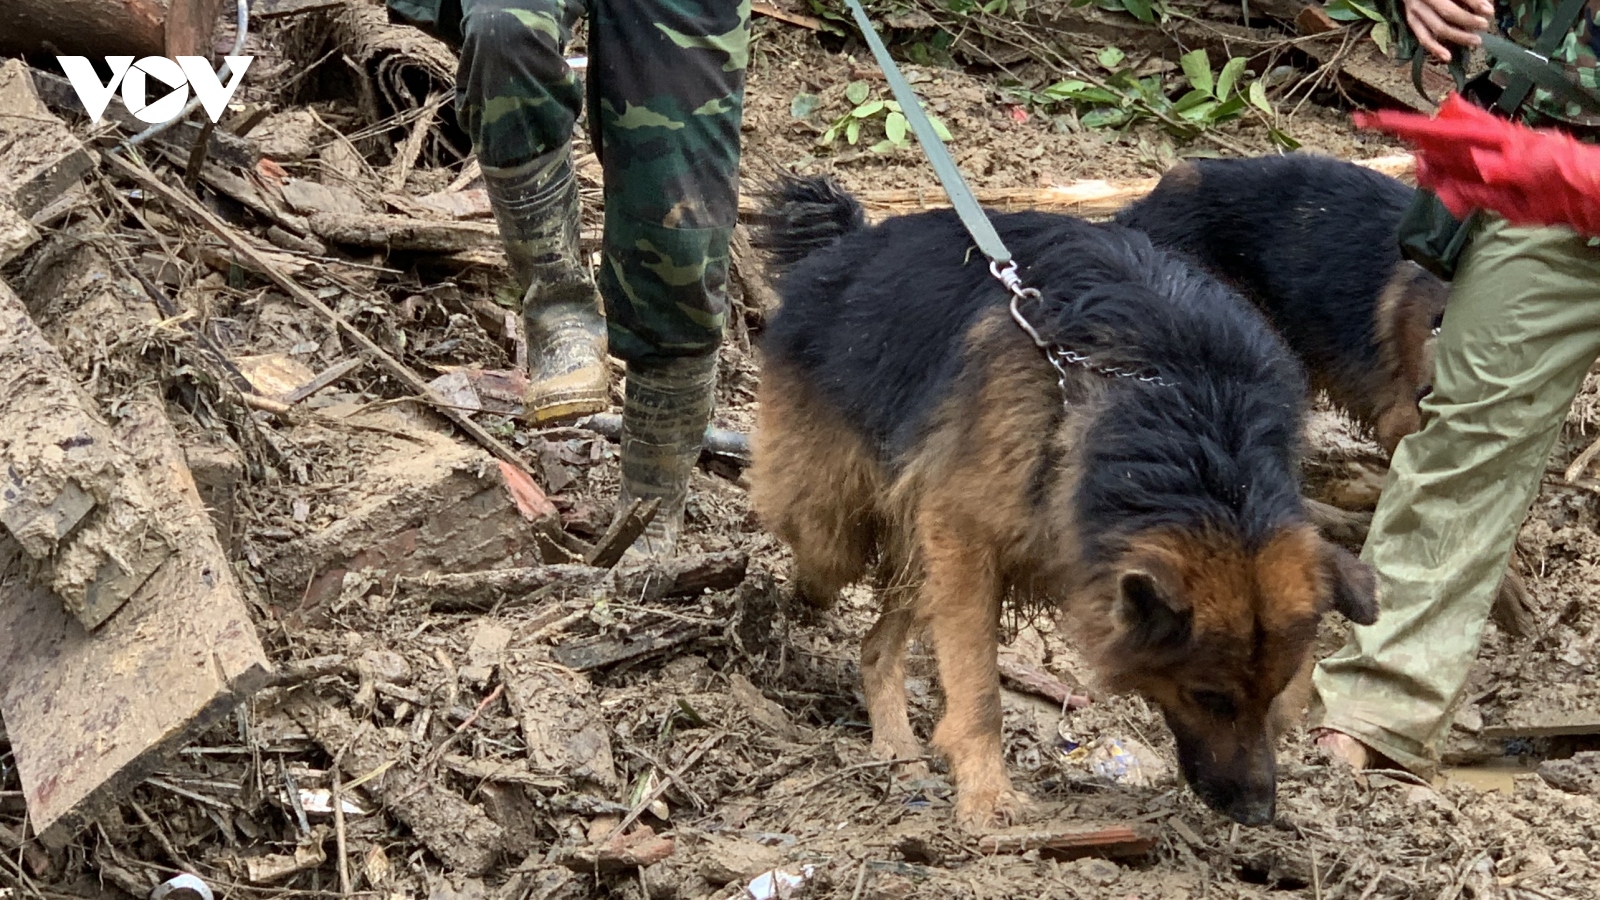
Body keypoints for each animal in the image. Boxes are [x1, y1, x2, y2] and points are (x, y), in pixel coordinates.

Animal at [745, 175, 1376, 826]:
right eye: (1208, 696)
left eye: (1275, 691)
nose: (1258, 812)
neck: (1192, 405)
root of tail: (849, 245)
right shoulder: (964, 536)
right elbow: (978, 687)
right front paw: (988, 795)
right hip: (841, 511)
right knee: (822, 554)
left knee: (876, 647)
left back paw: (895, 745)